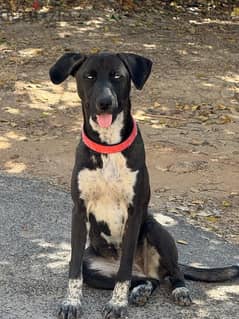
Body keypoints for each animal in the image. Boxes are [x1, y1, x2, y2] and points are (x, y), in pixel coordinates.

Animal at [49, 53, 239, 319]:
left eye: (117, 76)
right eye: (89, 76)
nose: (105, 103)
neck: (108, 146)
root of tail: (145, 269)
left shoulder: (135, 212)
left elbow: (124, 272)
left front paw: (117, 304)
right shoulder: (79, 210)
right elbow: (75, 269)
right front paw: (71, 302)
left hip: (154, 228)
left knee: (171, 273)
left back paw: (178, 290)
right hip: (95, 268)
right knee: (148, 280)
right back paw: (141, 291)